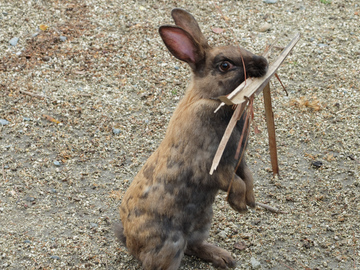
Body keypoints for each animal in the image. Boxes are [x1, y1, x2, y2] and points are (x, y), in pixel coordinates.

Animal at [115, 7, 268, 270]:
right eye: (225, 65)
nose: (264, 63)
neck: (211, 98)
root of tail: (131, 242)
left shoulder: (238, 159)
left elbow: (247, 177)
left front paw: (250, 203)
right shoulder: (212, 165)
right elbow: (235, 181)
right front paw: (238, 206)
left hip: (203, 222)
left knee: (194, 246)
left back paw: (224, 258)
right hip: (170, 244)